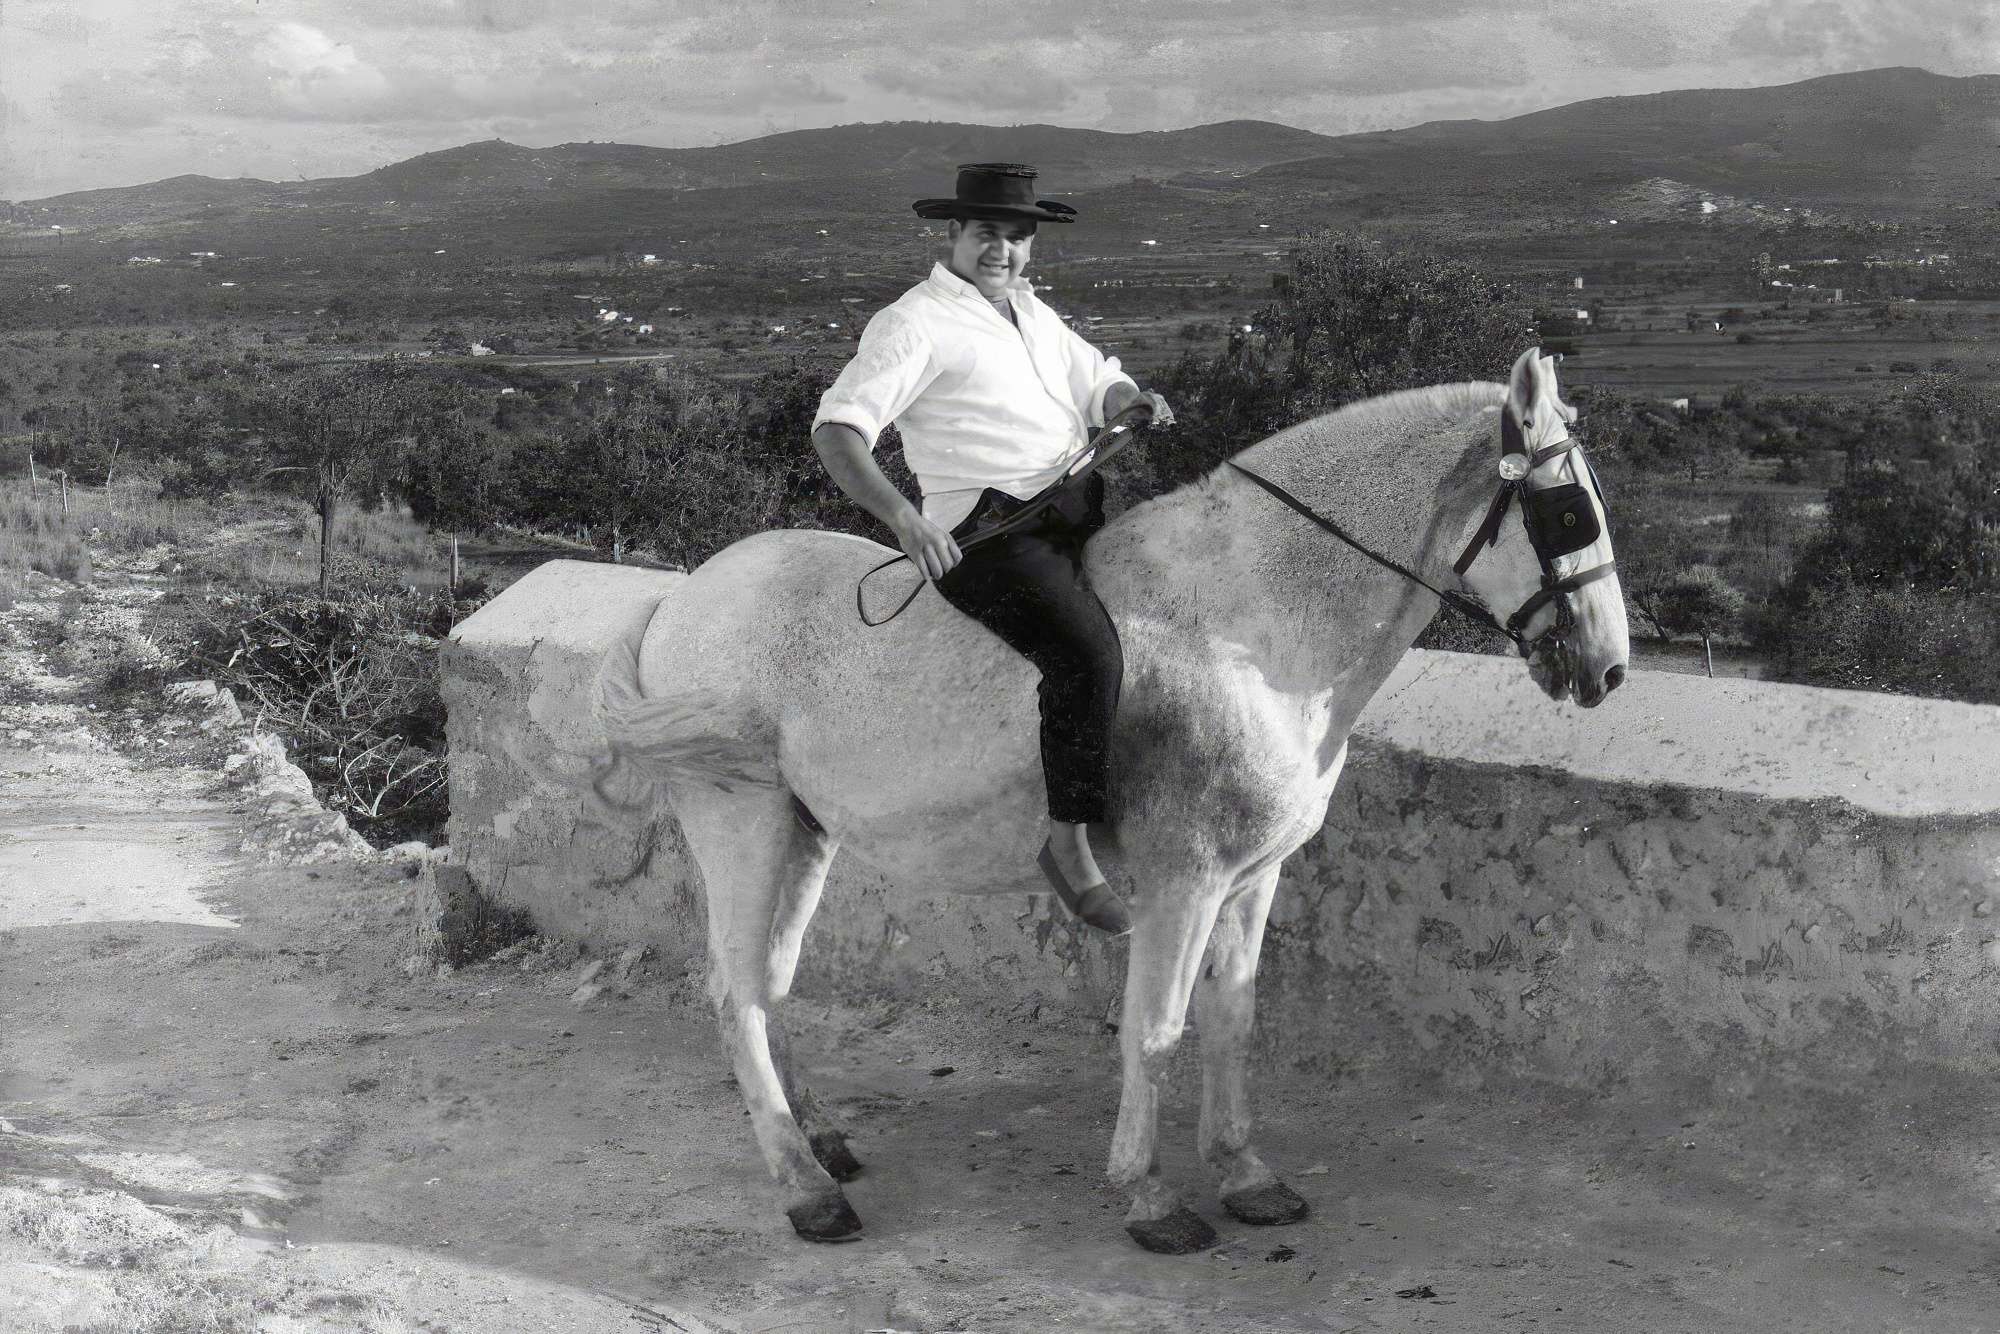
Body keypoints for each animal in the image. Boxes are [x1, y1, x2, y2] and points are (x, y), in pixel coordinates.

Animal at [592, 347, 1629, 1253]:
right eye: (1570, 513)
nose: (1607, 668)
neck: (1252, 629)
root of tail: (678, 603)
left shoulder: (1252, 877)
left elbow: (1233, 1017)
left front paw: (1246, 1174)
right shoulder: (1183, 879)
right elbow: (1157, 1029)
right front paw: (1151, 1197)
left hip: (805, 832)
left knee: (769, 981)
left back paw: (823, 1142)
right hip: (739, 819)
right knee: (733, 990)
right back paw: (806, 1190)